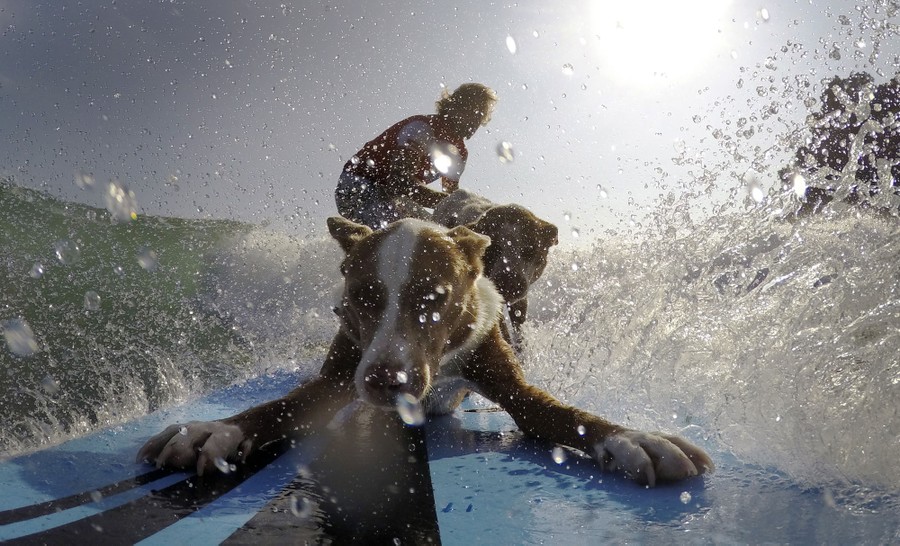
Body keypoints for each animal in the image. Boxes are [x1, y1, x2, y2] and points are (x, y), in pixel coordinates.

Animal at [135, 216, 712, 484]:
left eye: (434, 298)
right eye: (361, 297)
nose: (385, 382)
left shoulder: (508, 380)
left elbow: (561, 414)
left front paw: (634, 438)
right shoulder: (338, 375)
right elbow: (280, 406)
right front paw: (213, 429)